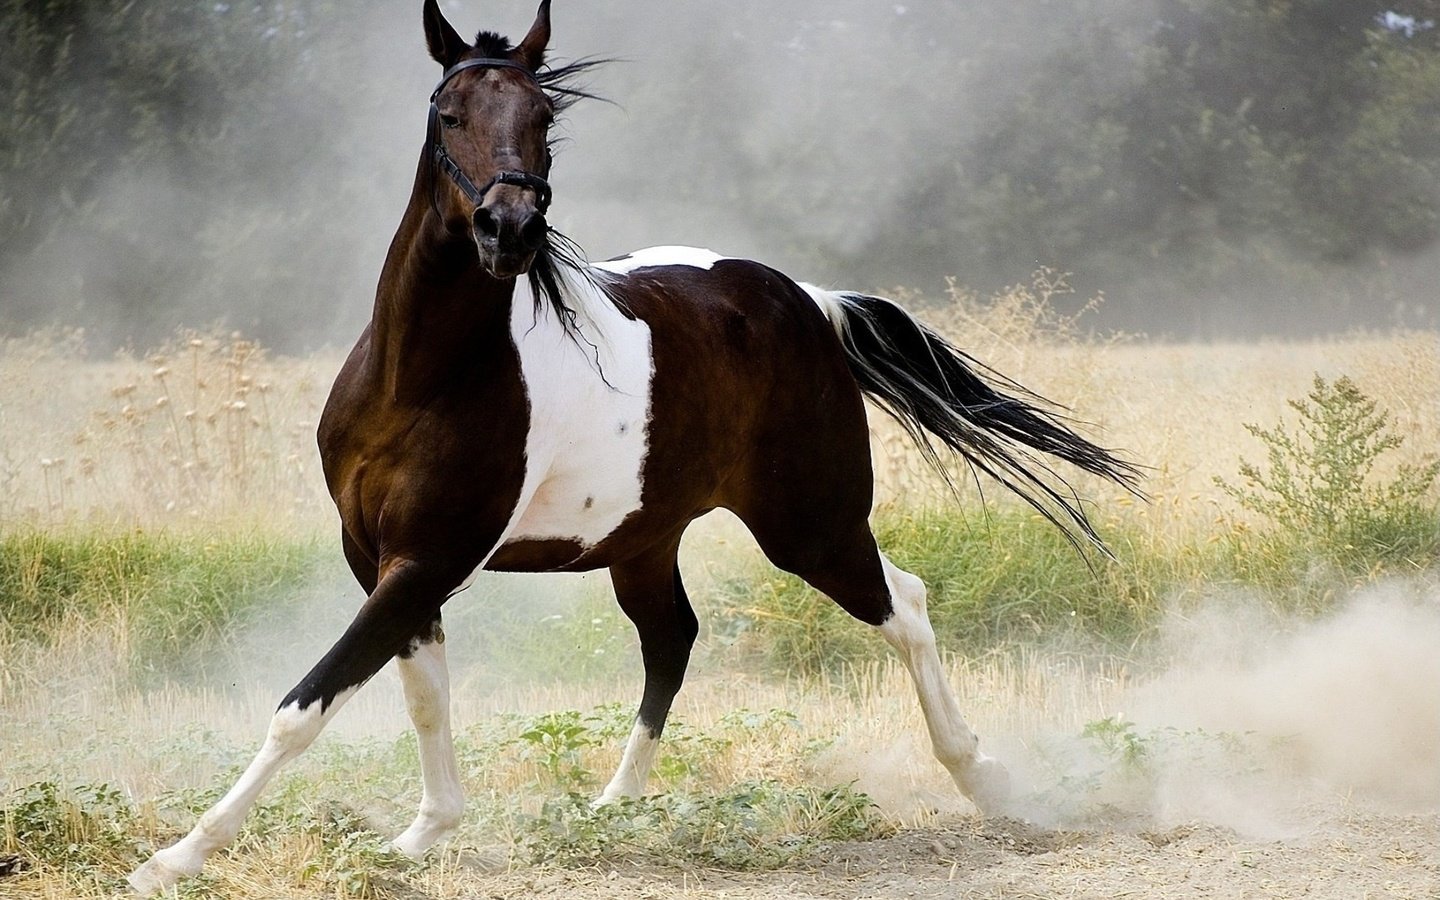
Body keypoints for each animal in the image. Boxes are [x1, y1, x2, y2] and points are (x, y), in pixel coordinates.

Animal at [126, 3, 1134, 892]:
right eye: (449, 112)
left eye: (543, 117)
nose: (509, 230)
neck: (420, 379)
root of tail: (808, 301)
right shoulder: (381, 557)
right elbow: (419, 692)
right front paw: (421, 836)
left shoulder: (428, 558)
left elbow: (307, 704)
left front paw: (174, 859)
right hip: (646, 539)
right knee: (672, 638)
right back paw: (613, 806)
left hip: (809, 527)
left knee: (906, 605)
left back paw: (984, 778)